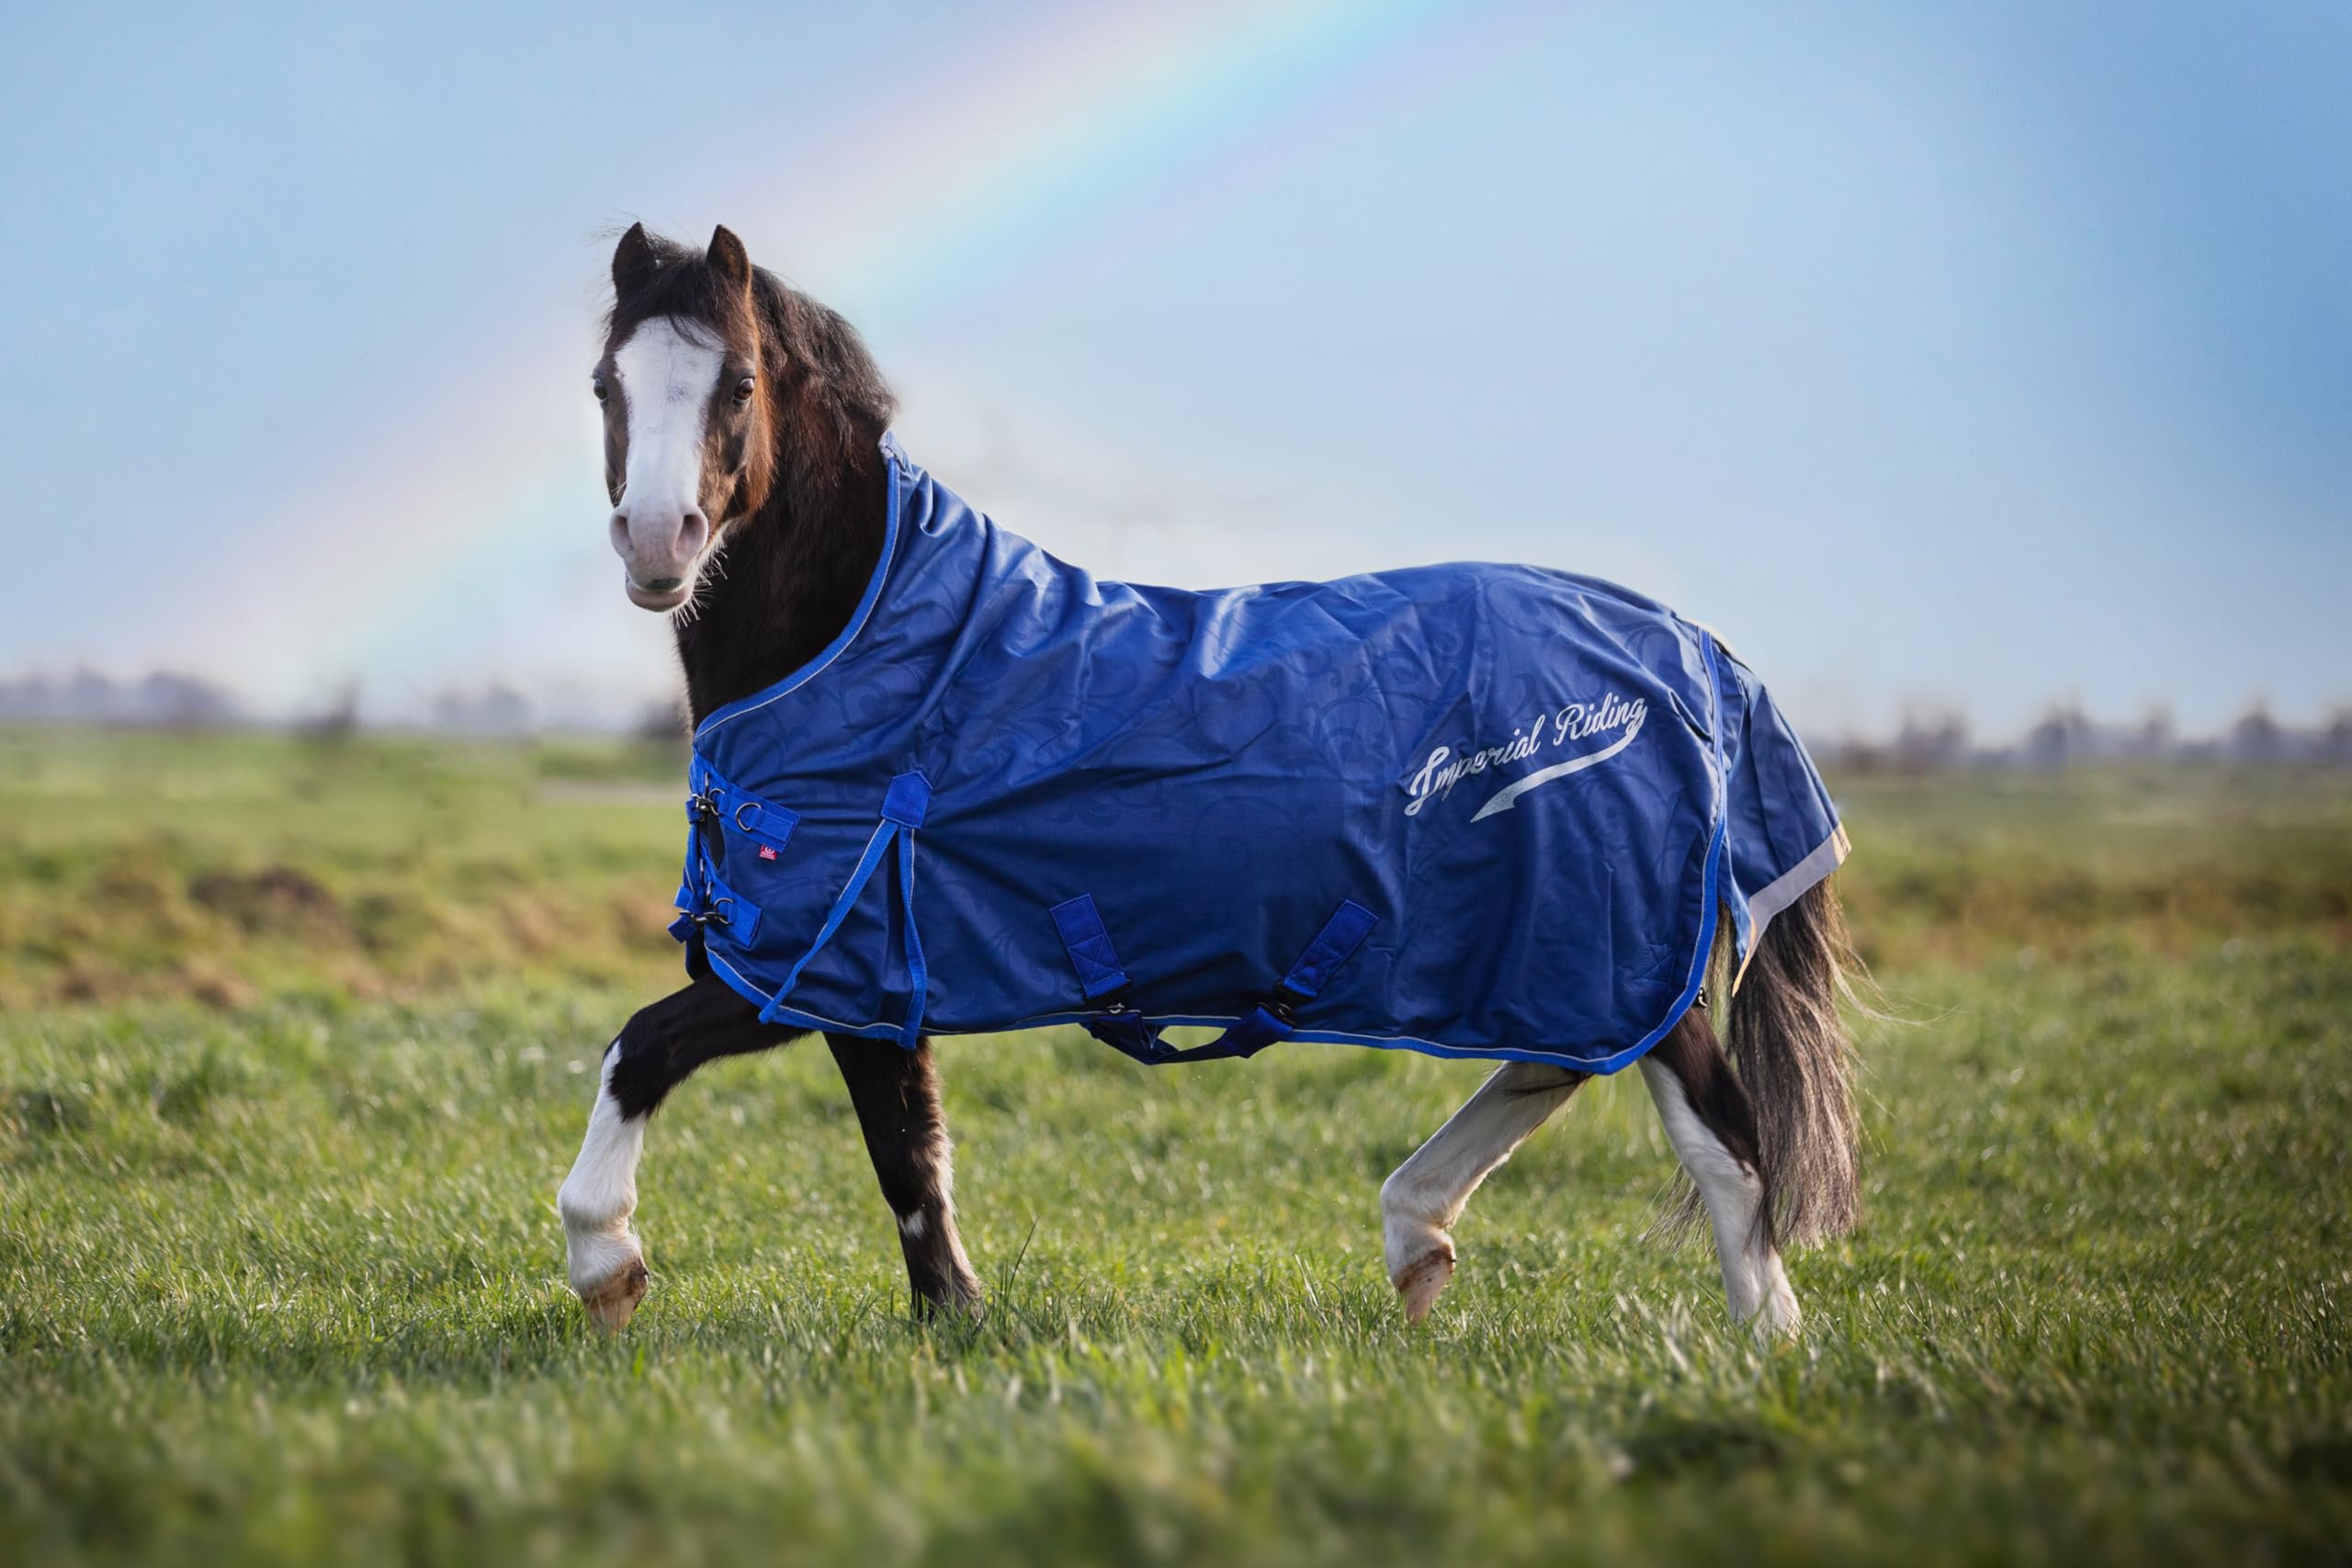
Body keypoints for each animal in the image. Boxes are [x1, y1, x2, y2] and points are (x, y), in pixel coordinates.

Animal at [557, 222, 1863, 1338]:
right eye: (607, 387)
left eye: (736, 385)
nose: (658, 544)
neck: (879, 648)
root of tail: (1691, 651)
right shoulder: (870, 981)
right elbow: (908, 1156)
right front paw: (951, 1318)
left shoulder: (811, 963)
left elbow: (645, 1050)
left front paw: (606, 1261)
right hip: (1558, 947)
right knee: (1556, 1067)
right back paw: (1418, 1239)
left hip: (1619, 944)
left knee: (1724, 1144)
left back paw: (1767, 1343)